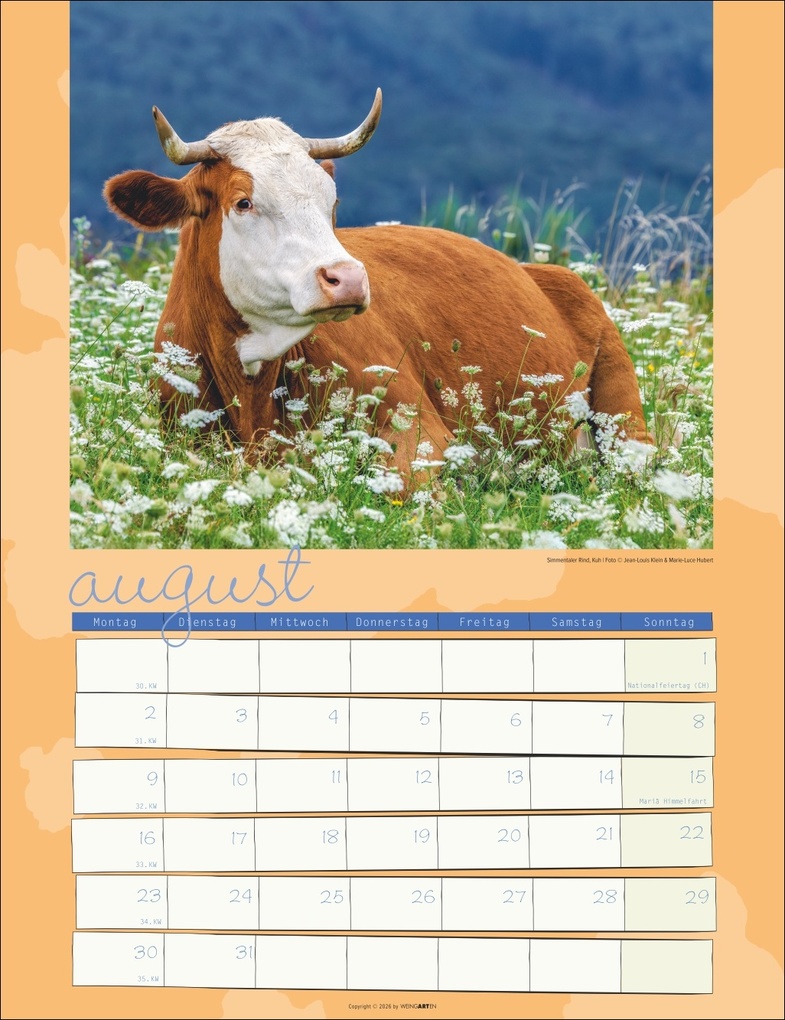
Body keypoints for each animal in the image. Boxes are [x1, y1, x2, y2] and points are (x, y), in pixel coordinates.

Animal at [104, 90, 648, 472]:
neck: (250, 387)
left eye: (332, 202)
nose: (346, 279)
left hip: (626, 420)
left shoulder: (423, 432)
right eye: (243, 201)